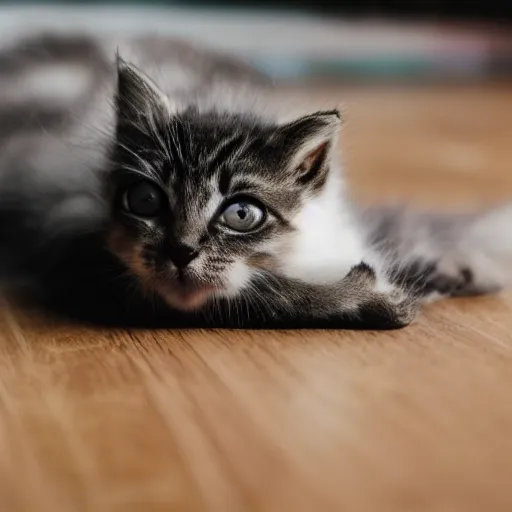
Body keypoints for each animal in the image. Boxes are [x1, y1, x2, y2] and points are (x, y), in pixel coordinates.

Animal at [1, 33, 512, 328]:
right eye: (145, 200)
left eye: (241, 213)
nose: (180, 251)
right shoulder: (79, 253)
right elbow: (260, 296)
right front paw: (373, 298)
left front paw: (460, 263)